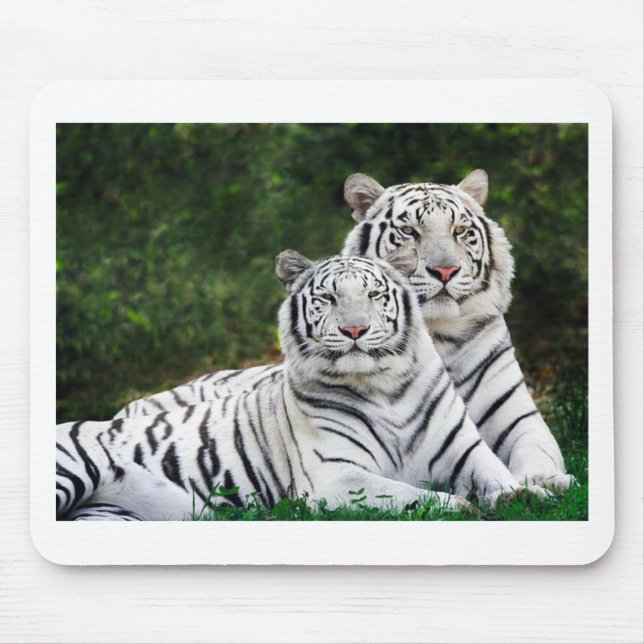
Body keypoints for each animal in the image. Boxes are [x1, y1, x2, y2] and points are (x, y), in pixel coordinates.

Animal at [57, 251, 538, 521]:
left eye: (374, 295)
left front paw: (523, 495)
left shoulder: (465, 450)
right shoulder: (334, 476)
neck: (385, 388)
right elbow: (406, 493)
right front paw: (460, 507)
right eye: (328, 298)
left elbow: (497, 473)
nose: (354, 330)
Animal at [117, 170, 574, 492]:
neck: (437, 336)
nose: (445, 270)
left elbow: (537, 452)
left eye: (460, 231)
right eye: (409, 232)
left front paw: (549, 482)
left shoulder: (519, 419)